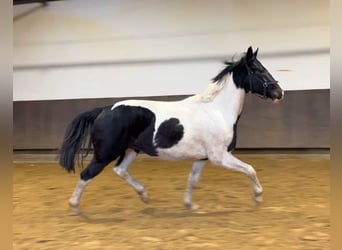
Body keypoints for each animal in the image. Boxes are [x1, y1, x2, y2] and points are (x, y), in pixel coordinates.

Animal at [58, 46, 284, 212]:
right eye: (257, 70)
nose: (279, 92)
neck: (217, 110)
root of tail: (104, 109)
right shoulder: (219, 157)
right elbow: (250, 169)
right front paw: (258, 198)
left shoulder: (202, 158)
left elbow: (192, 180)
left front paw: (191, 206)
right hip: (105, 154)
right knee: (86, 175)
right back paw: (74, 207)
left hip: (131, 150)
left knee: (120, 170)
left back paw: (145, 196)